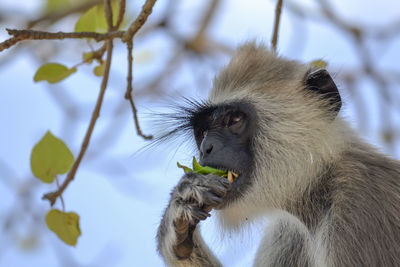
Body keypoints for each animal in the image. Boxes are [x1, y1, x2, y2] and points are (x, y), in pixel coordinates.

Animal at [155, 42, 400, 267]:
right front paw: (178, 219)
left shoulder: (359, 202)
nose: (206, 147)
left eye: (234, 119)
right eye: (202, 132)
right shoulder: (286, 231)